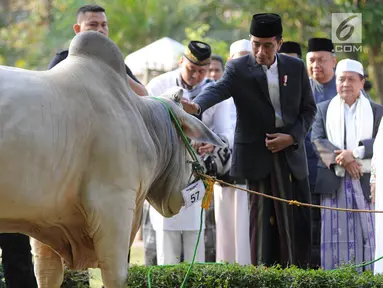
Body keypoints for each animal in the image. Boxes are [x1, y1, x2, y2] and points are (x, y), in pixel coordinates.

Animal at [0, 30, 224, 286]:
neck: (141, 118)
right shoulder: (113, 205)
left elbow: (48, 274)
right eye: (188, 139)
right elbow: (116, 275)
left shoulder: (45, 219)